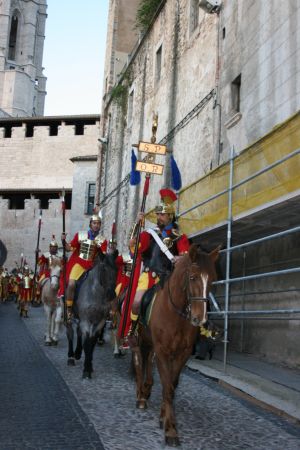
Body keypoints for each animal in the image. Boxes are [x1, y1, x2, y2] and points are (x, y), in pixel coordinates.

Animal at [132, 244, 219, 444]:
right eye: (193, 277)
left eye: (212, 279)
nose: (200, 318)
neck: (175, 313)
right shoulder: (163, 351)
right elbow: (168, 387)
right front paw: (171, 429)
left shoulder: (182, 353)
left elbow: (171, 384)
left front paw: (164, 417)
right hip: (139, 339)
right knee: (140, 363)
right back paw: (140, 396)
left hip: (152, 344)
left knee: (149, 363)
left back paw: (146, 390)